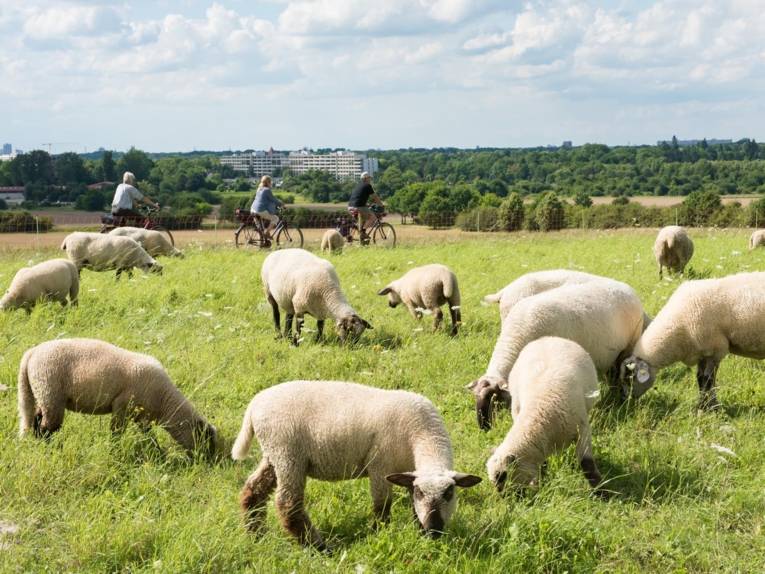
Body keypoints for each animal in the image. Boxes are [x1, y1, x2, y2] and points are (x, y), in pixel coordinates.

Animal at [17, 338, 218, 458]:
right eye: (205, 438)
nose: (206, 460)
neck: (164, 402)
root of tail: (31, 353)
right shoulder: (121, 406)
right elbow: (116, 432)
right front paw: (114, 451)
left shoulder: (142, 415)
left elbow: (148, 435)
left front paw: (158, 452)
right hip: (50, 393)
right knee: (45, 428)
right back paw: (52, 450)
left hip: (42, 394)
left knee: (36, 420)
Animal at [231, 380, 481, 550]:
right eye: (422, 492)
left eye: (449, 493)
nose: (434, 530)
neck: (422, 434)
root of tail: (254, 404)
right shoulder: (380, 466)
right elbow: (382, 505)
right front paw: (379, 533)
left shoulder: (410, 472)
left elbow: (412, 506)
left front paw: (419, 532)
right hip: (288, 454)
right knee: (287, 503)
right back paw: (319, 547)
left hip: (274, 454)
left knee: (253, 490)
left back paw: (256, 535)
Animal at [468, 278, 646, 430]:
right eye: (475, 398)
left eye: (494, 400)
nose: (484, 428)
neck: (517, 334)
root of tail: (629, 289)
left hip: (628, 346)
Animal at [486, 337, 605, 495]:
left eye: (502, 475)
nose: (502, 496)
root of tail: (547, 338)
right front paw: (537, 484)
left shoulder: (582, 429)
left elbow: (587, 463)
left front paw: (601, 491)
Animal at [621, 271, 765, 410]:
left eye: (629, 378)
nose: (625, 401)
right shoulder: (702, 352)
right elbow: (700, 378)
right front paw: (702, 405)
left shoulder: (715, 349)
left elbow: (708, 380)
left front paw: (713, 407)